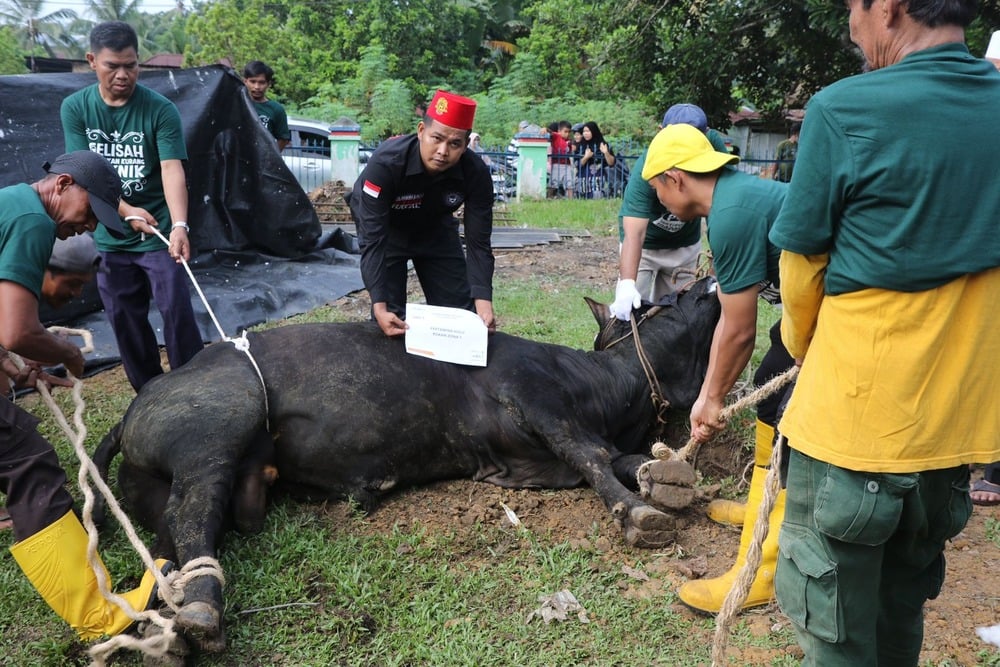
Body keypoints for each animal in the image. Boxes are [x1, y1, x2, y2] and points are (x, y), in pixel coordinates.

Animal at [92, 276, 720, 652]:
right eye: (683, 295)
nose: (711, 280)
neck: (607, 386)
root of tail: (137, 404)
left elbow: (622, 458)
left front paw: (668, 480)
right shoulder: (536, 399)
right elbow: (593, 456)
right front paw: (639, 513)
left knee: (168, 542)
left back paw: (169, 634)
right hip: (219, 425)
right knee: (193, 510)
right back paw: (201, 611)